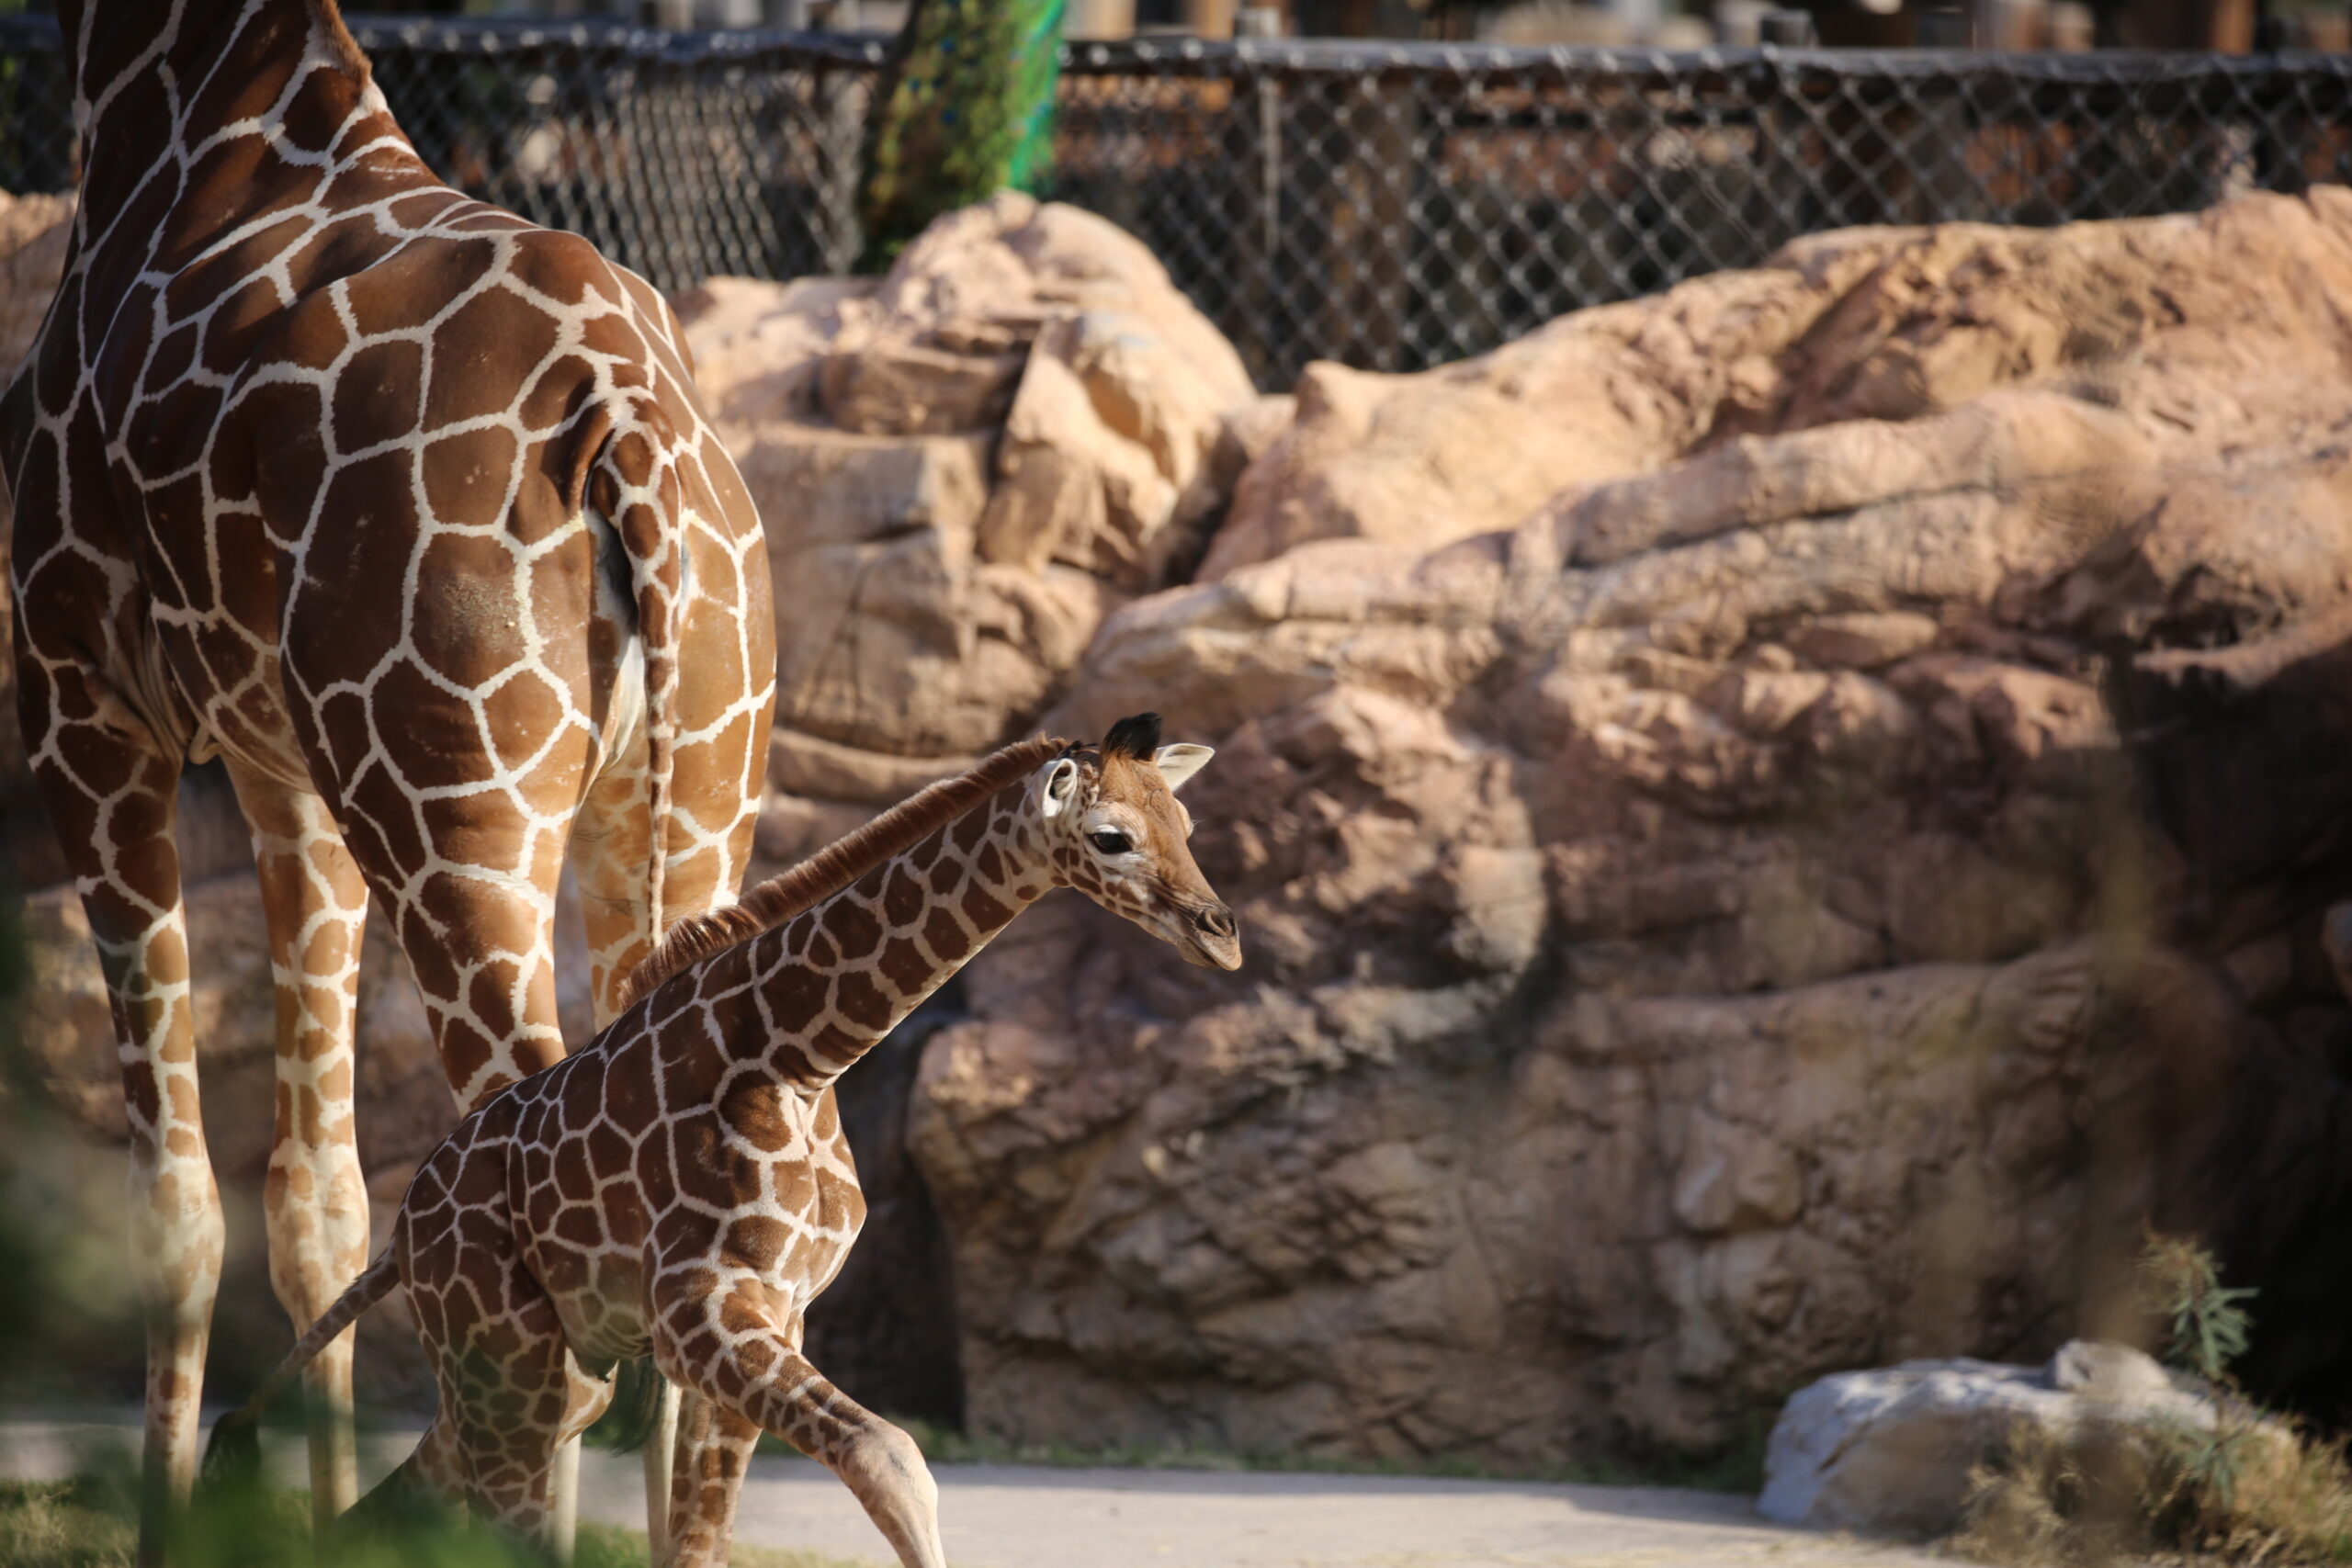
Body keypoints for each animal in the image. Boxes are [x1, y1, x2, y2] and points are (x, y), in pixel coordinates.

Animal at [6, 0, 780, 1551]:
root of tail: (633, 436)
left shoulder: (85, 708)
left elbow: (174, 1205)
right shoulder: (285, 769)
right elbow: (320, 1204)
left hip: (456, 815)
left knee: (545, 1255)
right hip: (682, 809)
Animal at [211, 715, 1241, 1568]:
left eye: (1187, 825)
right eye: (1111, 837)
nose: (1221, 932)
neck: (797, 1052)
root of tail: (403, 1235)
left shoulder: (776, 1309)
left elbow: (707, 1539)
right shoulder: (699, 1304)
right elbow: (892, 1455)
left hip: (544, 1375)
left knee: (410, 1496)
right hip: (504, 1355)